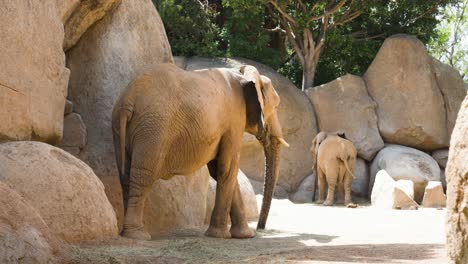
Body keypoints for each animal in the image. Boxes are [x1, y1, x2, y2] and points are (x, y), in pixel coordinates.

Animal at [113, 63, 288, 239]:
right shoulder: (235, 118)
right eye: (276, 106)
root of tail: (128, 101)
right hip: (154, 129)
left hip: (123, 127)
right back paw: (138, 235)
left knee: (125, 175)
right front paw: (220, 236)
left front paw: (244, 235)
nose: (260, 228)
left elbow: (219, 170)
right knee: (143, 176)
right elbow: (228, 167)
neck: (242, 73)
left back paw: (128, 231)